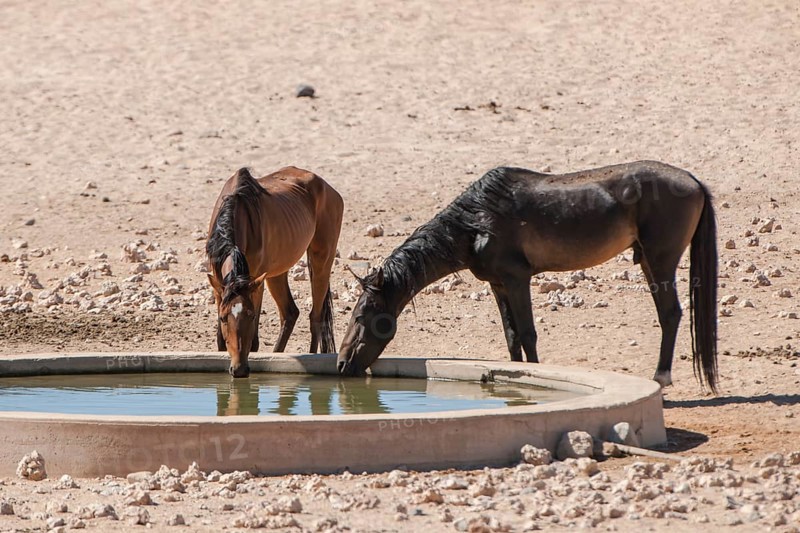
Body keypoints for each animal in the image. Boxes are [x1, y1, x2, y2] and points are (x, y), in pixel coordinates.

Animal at [206, 167, 343, 378]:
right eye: (223, 317)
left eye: (250, 316)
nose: (239, 369)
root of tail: (329, 189)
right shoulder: (219, 286)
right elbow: (221, 340)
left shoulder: (255, 283)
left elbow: (254, 342)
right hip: (278, 272)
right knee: (290, 313)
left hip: (321, 259)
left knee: (315, 317)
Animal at [336, 161, 719, 392]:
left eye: (361, 316)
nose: (341, 365)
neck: (475, 224)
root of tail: (694, 181)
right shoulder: (498, 285)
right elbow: (511, 337)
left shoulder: (518, 279)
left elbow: (528, 333)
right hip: (649, 262)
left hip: (660, 261)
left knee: (670, 314)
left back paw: (661, 377)